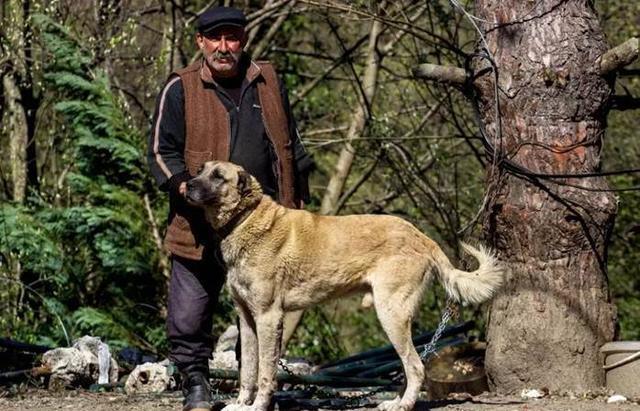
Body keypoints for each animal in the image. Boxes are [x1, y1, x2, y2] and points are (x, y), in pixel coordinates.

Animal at [188, 161, 502, 411]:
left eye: (218, 176)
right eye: (201, 169)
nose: (187, 184)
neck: (246, 219)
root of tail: (421, 236)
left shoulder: (268, 317)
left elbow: (265, 371)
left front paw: (258, 407)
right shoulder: (246, 319)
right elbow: (248, 371)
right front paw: (242, 404)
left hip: (391, 314)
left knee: (415, 366)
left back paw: (403, 405)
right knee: (412, 366)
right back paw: (396, 401)